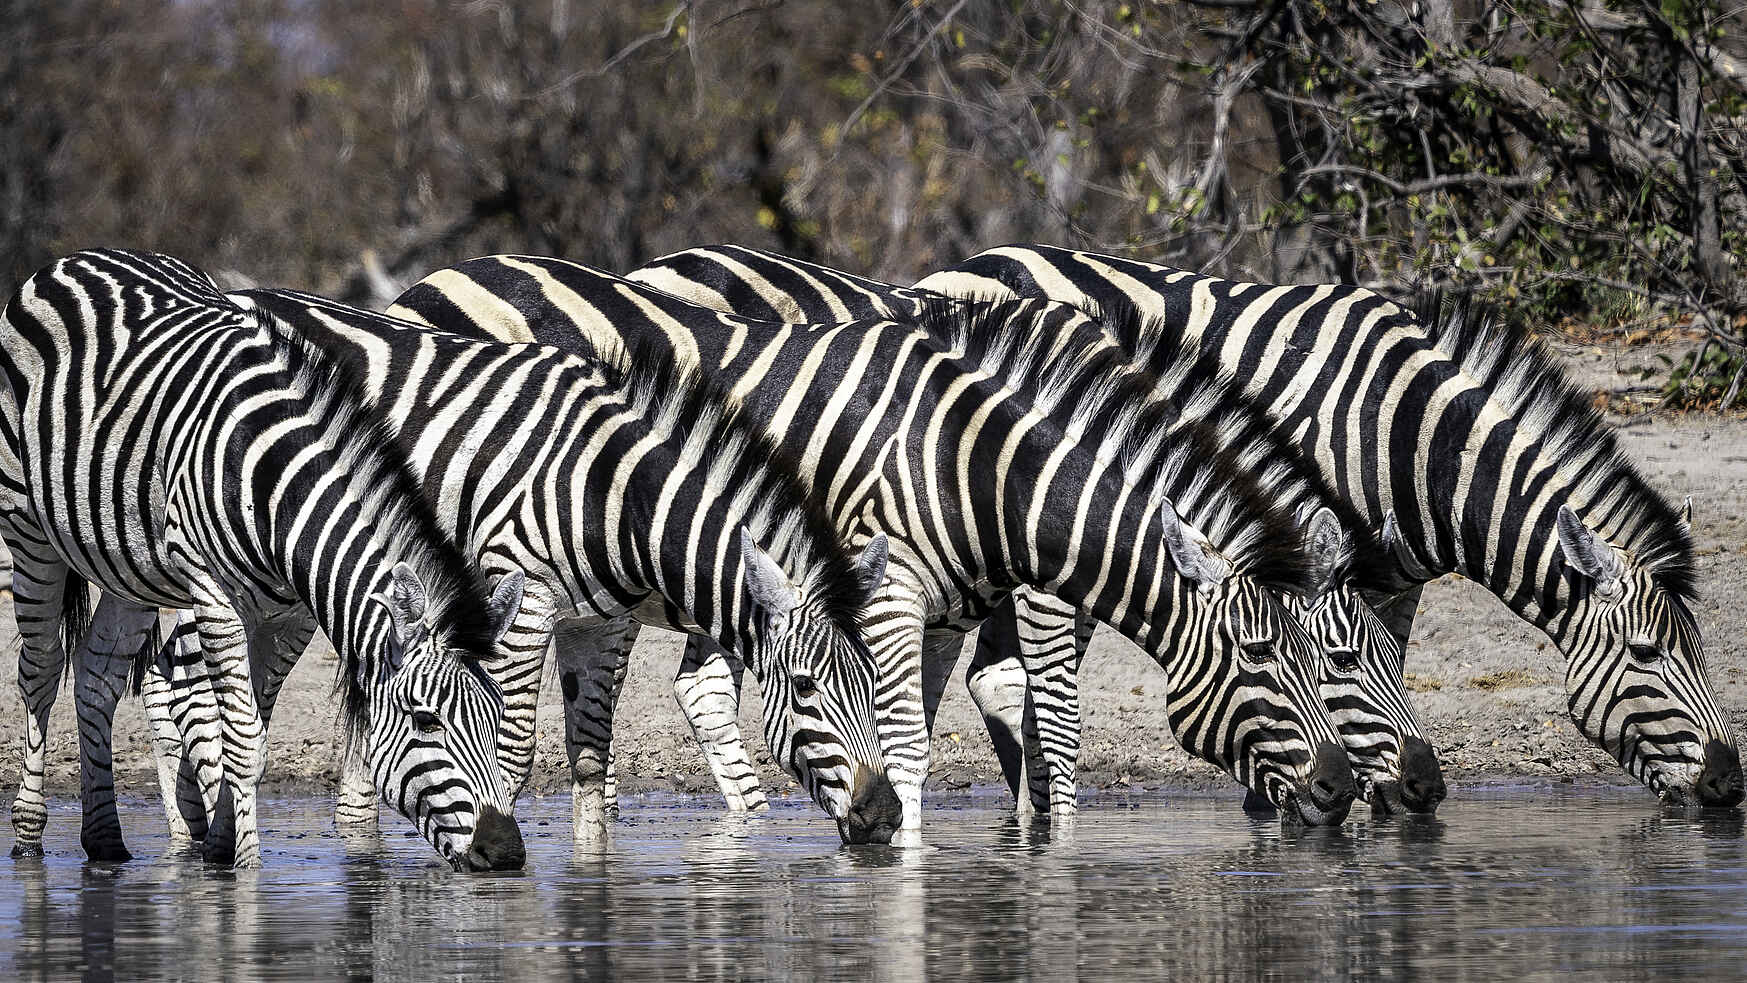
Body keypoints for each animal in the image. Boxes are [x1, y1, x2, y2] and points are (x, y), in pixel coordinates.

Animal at [0, 249, 527, 869]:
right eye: (425, 720)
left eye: (497, 721)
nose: (507, 852)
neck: (279, 493)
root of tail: (80, 258)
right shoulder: (213, 595)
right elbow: (244, 740)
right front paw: (245, 870)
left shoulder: (288, 616)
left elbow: (253, 732)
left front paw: (219, 848)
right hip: (26, 527)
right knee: (40, 669)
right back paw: (28, 834)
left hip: (130, 567)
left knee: (97, 673)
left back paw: (104, 839)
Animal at [126, 283, 903, 848]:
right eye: (804, 688)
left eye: (873, 684)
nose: (887, 818)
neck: (612, 490)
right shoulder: (521, 598)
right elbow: (515, 748)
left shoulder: (601, 621)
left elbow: (590, 757)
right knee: (178, 688)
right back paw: (188, 839)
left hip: (297, 590)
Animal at [388, 255, 1361, 833]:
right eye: (1265, 656)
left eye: (1327, 658)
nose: (1341, 791)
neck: (981, 460)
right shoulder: (933, 596)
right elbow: (1025, 724)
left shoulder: (942, 610)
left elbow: (916, 734)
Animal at [917, 244, 1743, 808]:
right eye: (1647, 652)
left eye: (1701, 649)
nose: (1730, 786)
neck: (1412, 441)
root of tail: (955, 272)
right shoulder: (1298, 547)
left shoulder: (1389, 578)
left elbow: (1377, 670)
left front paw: (1385, 792)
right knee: (1037, 683)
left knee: (990, 673)